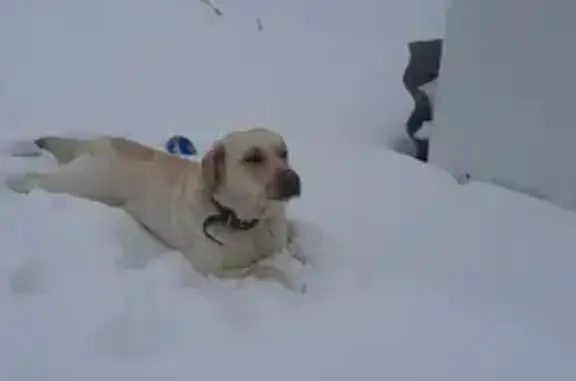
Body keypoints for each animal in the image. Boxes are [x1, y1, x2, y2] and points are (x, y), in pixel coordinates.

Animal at [4, 127, 308, 290]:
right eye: (252, 158)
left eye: (283, 152)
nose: (294, 179)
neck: (247, 222)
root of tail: (99, 142)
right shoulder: (213, 273)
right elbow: (262, 270)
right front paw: (293, 280)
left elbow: (291, 242)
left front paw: (301, 255)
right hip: (83, 183)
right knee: (34, 178)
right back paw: (12, 180)